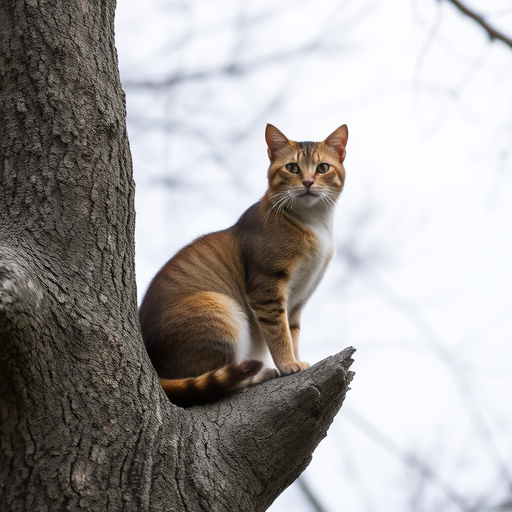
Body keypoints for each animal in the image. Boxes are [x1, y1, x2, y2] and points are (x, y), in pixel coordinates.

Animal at [139, 122, 348, 406]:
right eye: (292, 168)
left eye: (323, 167)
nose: (307, 182)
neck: (315, 223)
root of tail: (157, 370)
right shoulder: (267, 288)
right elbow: (279, 333)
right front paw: (288, 364)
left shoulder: (299, 298)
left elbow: (292, 332)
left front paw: (295, 359)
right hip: (221, 309)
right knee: (222, 379)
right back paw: (260, 373)